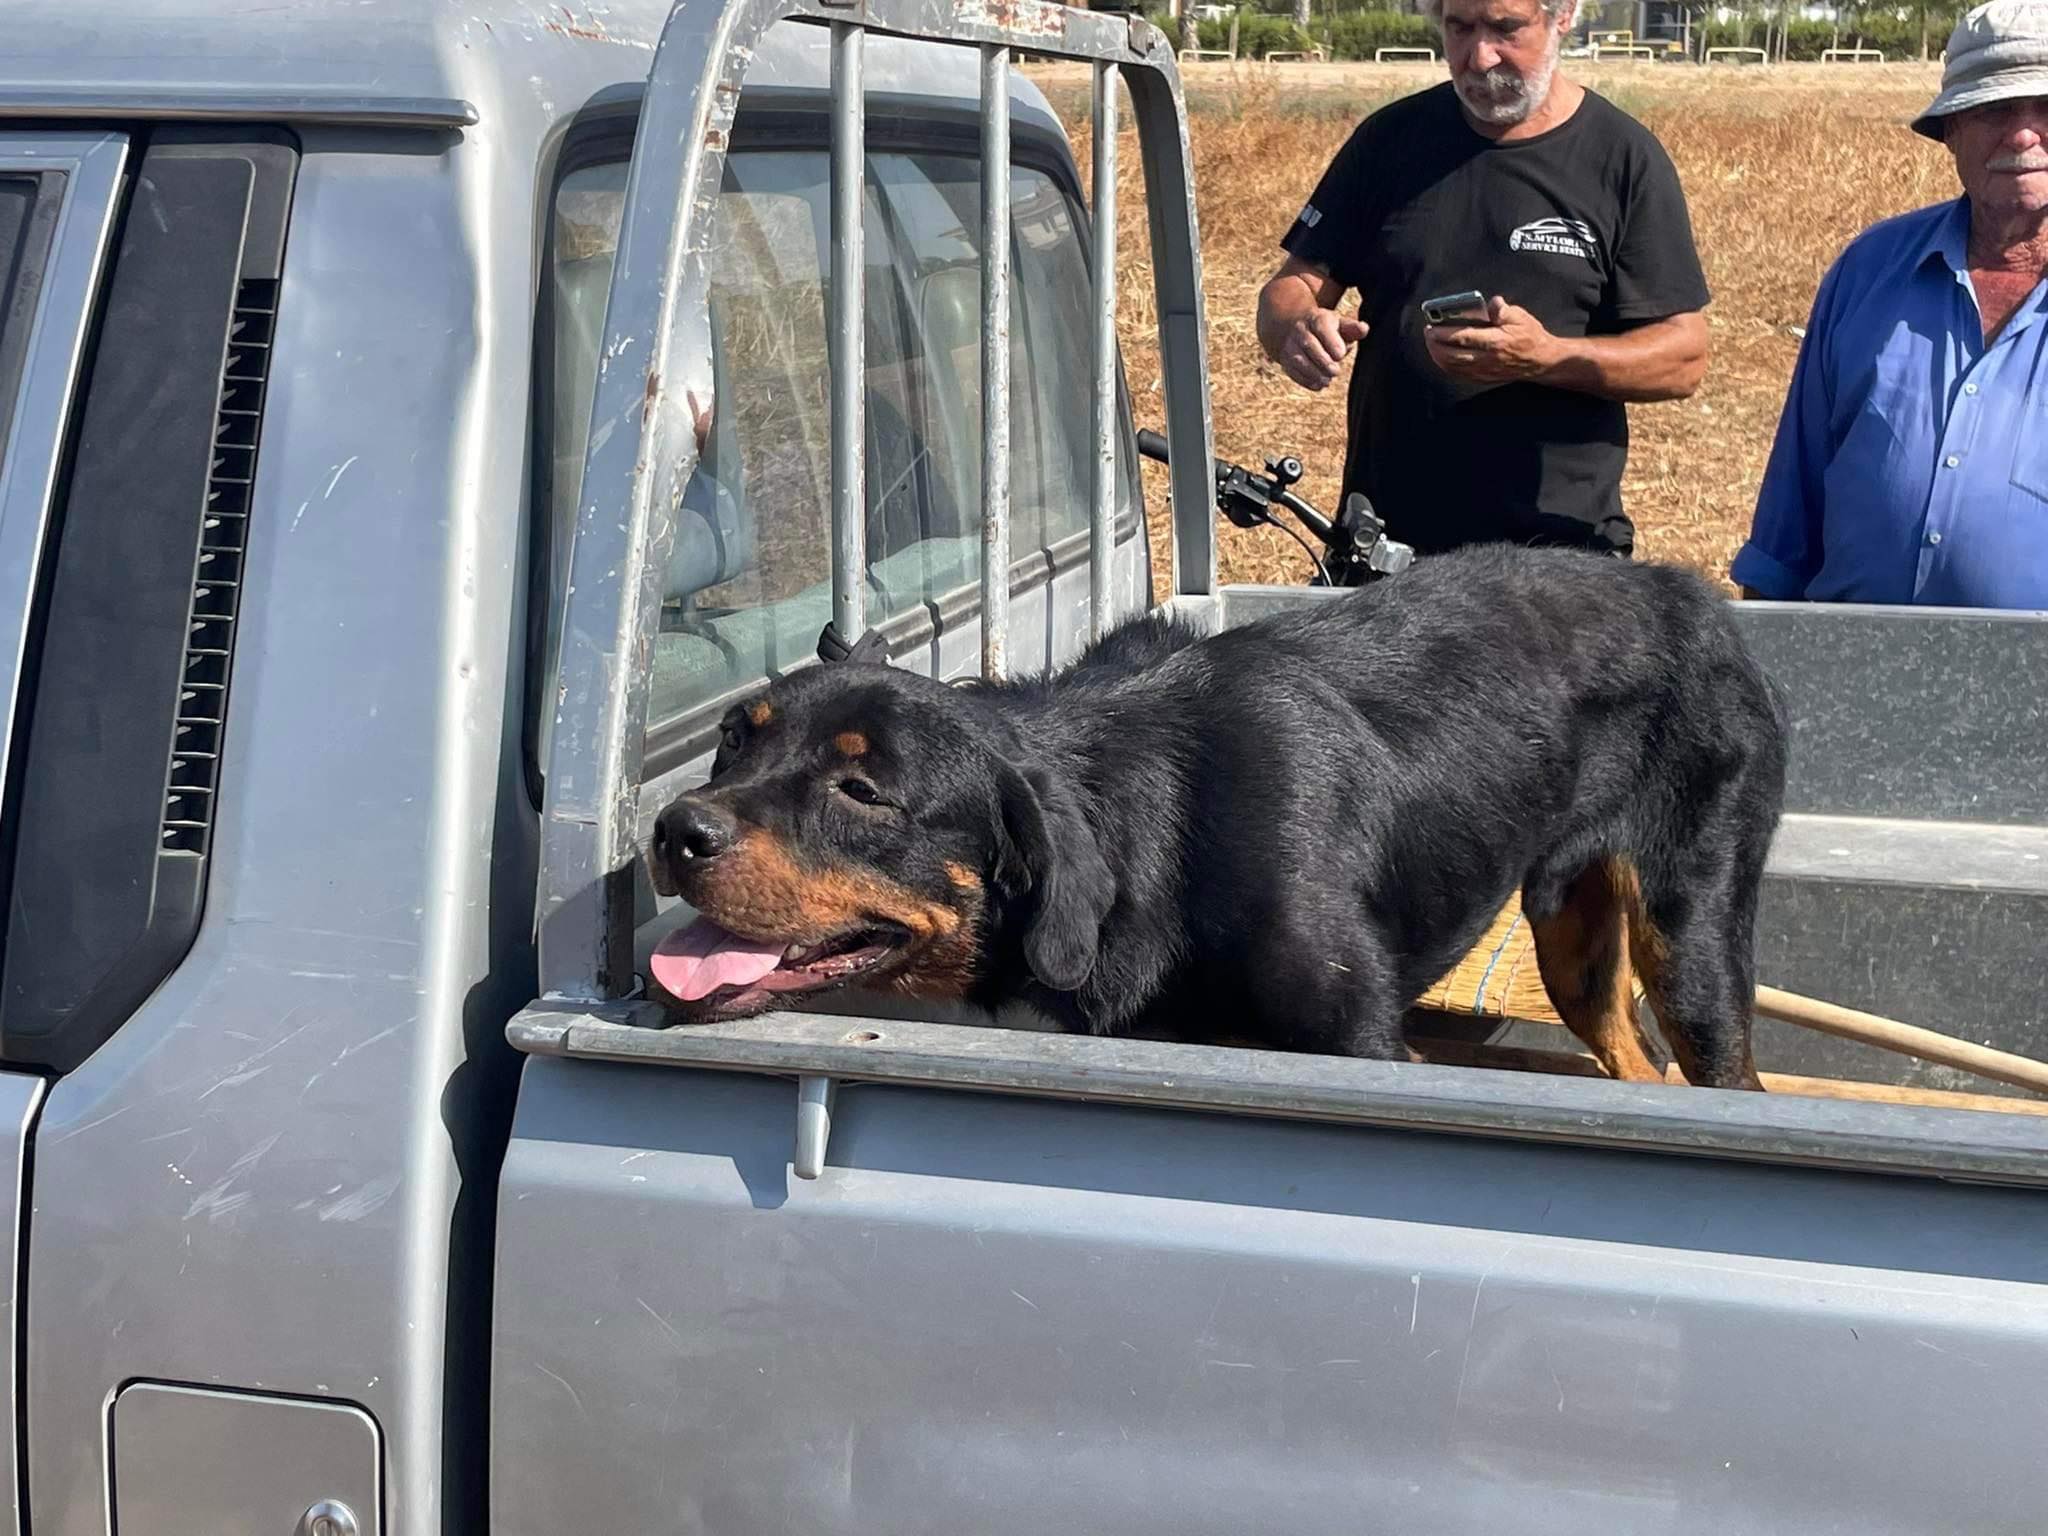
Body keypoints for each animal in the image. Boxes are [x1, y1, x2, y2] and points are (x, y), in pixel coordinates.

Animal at [647, 548, 1785, 1089]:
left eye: (861, 791)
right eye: (732, 741)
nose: (673, 832)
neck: (1155, 848)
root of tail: (1686, 592)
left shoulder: (1361, 1046)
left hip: (1688, 936)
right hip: (1577, 950)